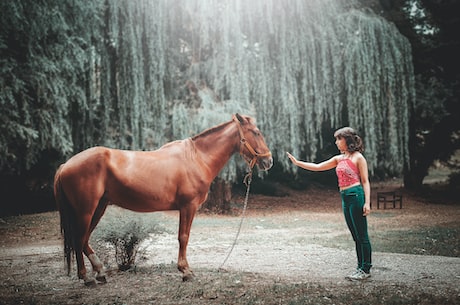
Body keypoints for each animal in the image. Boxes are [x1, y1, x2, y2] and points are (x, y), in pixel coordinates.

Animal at [53, 113, 274, 284]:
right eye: (256, 132)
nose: (269, 161)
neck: (197, 158)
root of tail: (65, 165)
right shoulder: (188, 207)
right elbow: (183, 237)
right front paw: (186, 271)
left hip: (99, 207)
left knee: (83, 239)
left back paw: (99, 273)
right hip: (86, 210)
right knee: (79, 238)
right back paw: (87, 277)